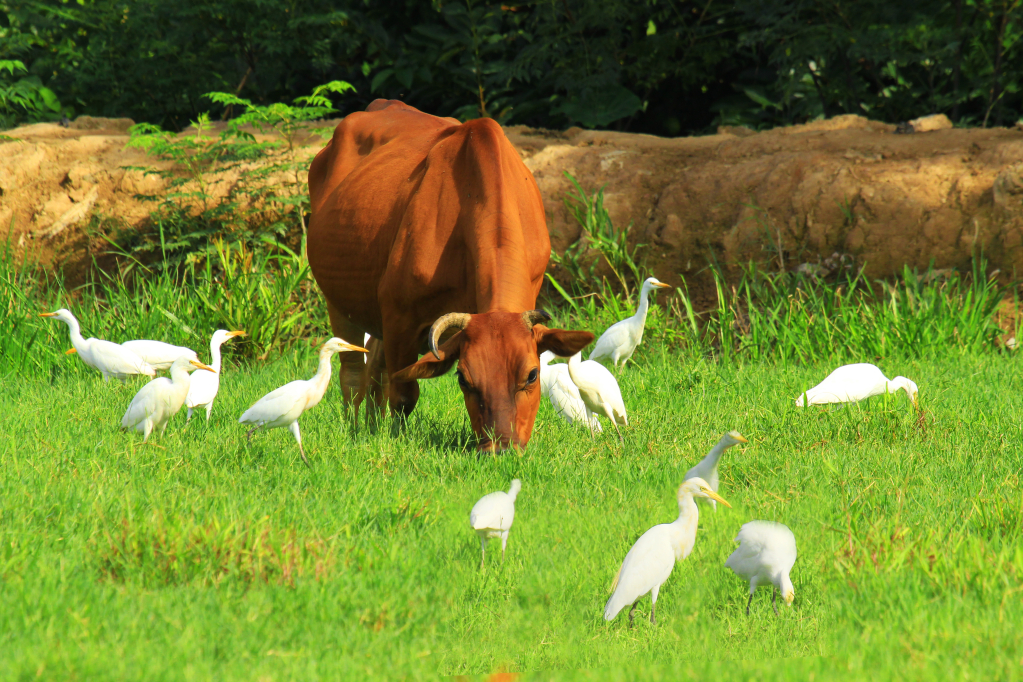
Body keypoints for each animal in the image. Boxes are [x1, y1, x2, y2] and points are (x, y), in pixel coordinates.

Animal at [304, 101, 593, 449]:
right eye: (463, 379)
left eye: (532, 375)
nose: (499, 447)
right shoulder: (399, 317)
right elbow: (403, 393)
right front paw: (398, 439)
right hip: (338, 303)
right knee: (352, 373)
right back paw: (354, 427)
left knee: (374, 367)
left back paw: (372, 427)